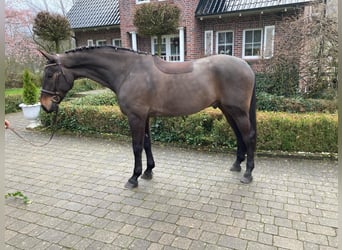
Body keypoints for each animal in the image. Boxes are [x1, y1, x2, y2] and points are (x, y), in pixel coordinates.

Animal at [38, 46, 255, 188]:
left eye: (49, 75)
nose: (45, 105)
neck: (128, 71)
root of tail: (247, 66)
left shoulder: (136, 117)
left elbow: (136, 146)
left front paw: (133, 178)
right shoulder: (145, 117)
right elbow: (147, 143)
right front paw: (148, 171)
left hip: (238, 111)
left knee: (248, 136)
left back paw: (248, 173)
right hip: (227, 110)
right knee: (238, 135)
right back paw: (237, 165)